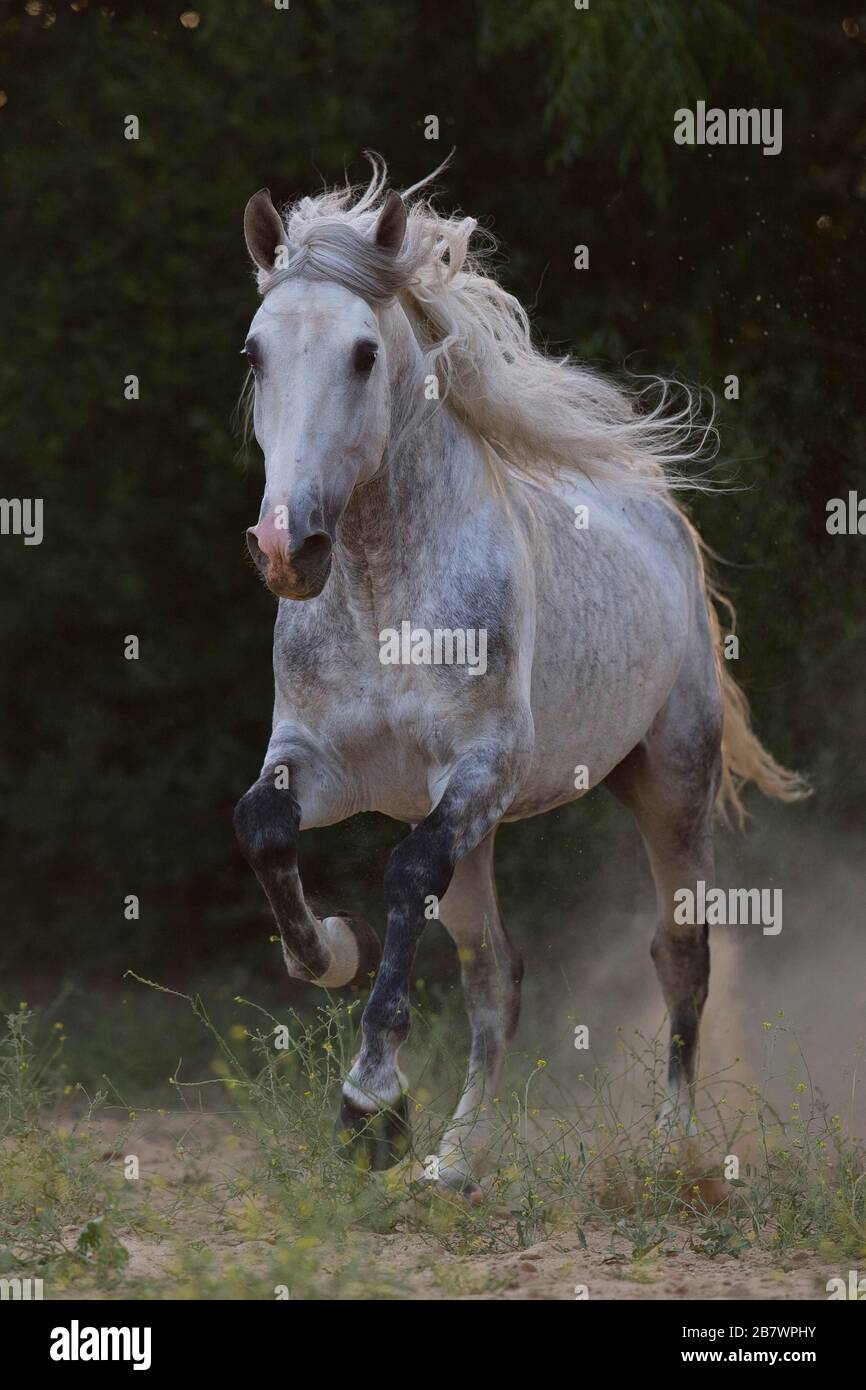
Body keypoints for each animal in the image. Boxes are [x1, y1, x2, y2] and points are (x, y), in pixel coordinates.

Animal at [232, 154, 806, 1195]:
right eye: (256, 355)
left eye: (364, 355)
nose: (288, 549)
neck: (382, 595)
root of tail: (661, 516)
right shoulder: (325, 762)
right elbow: (263, 827)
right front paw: (333, 953)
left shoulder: (483, 770)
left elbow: (405, 869)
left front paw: (368, 1107)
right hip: (492, 831)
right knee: (497, 977)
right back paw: (455, 1165)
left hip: (672, 781)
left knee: (682, 954)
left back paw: (671, 1153)